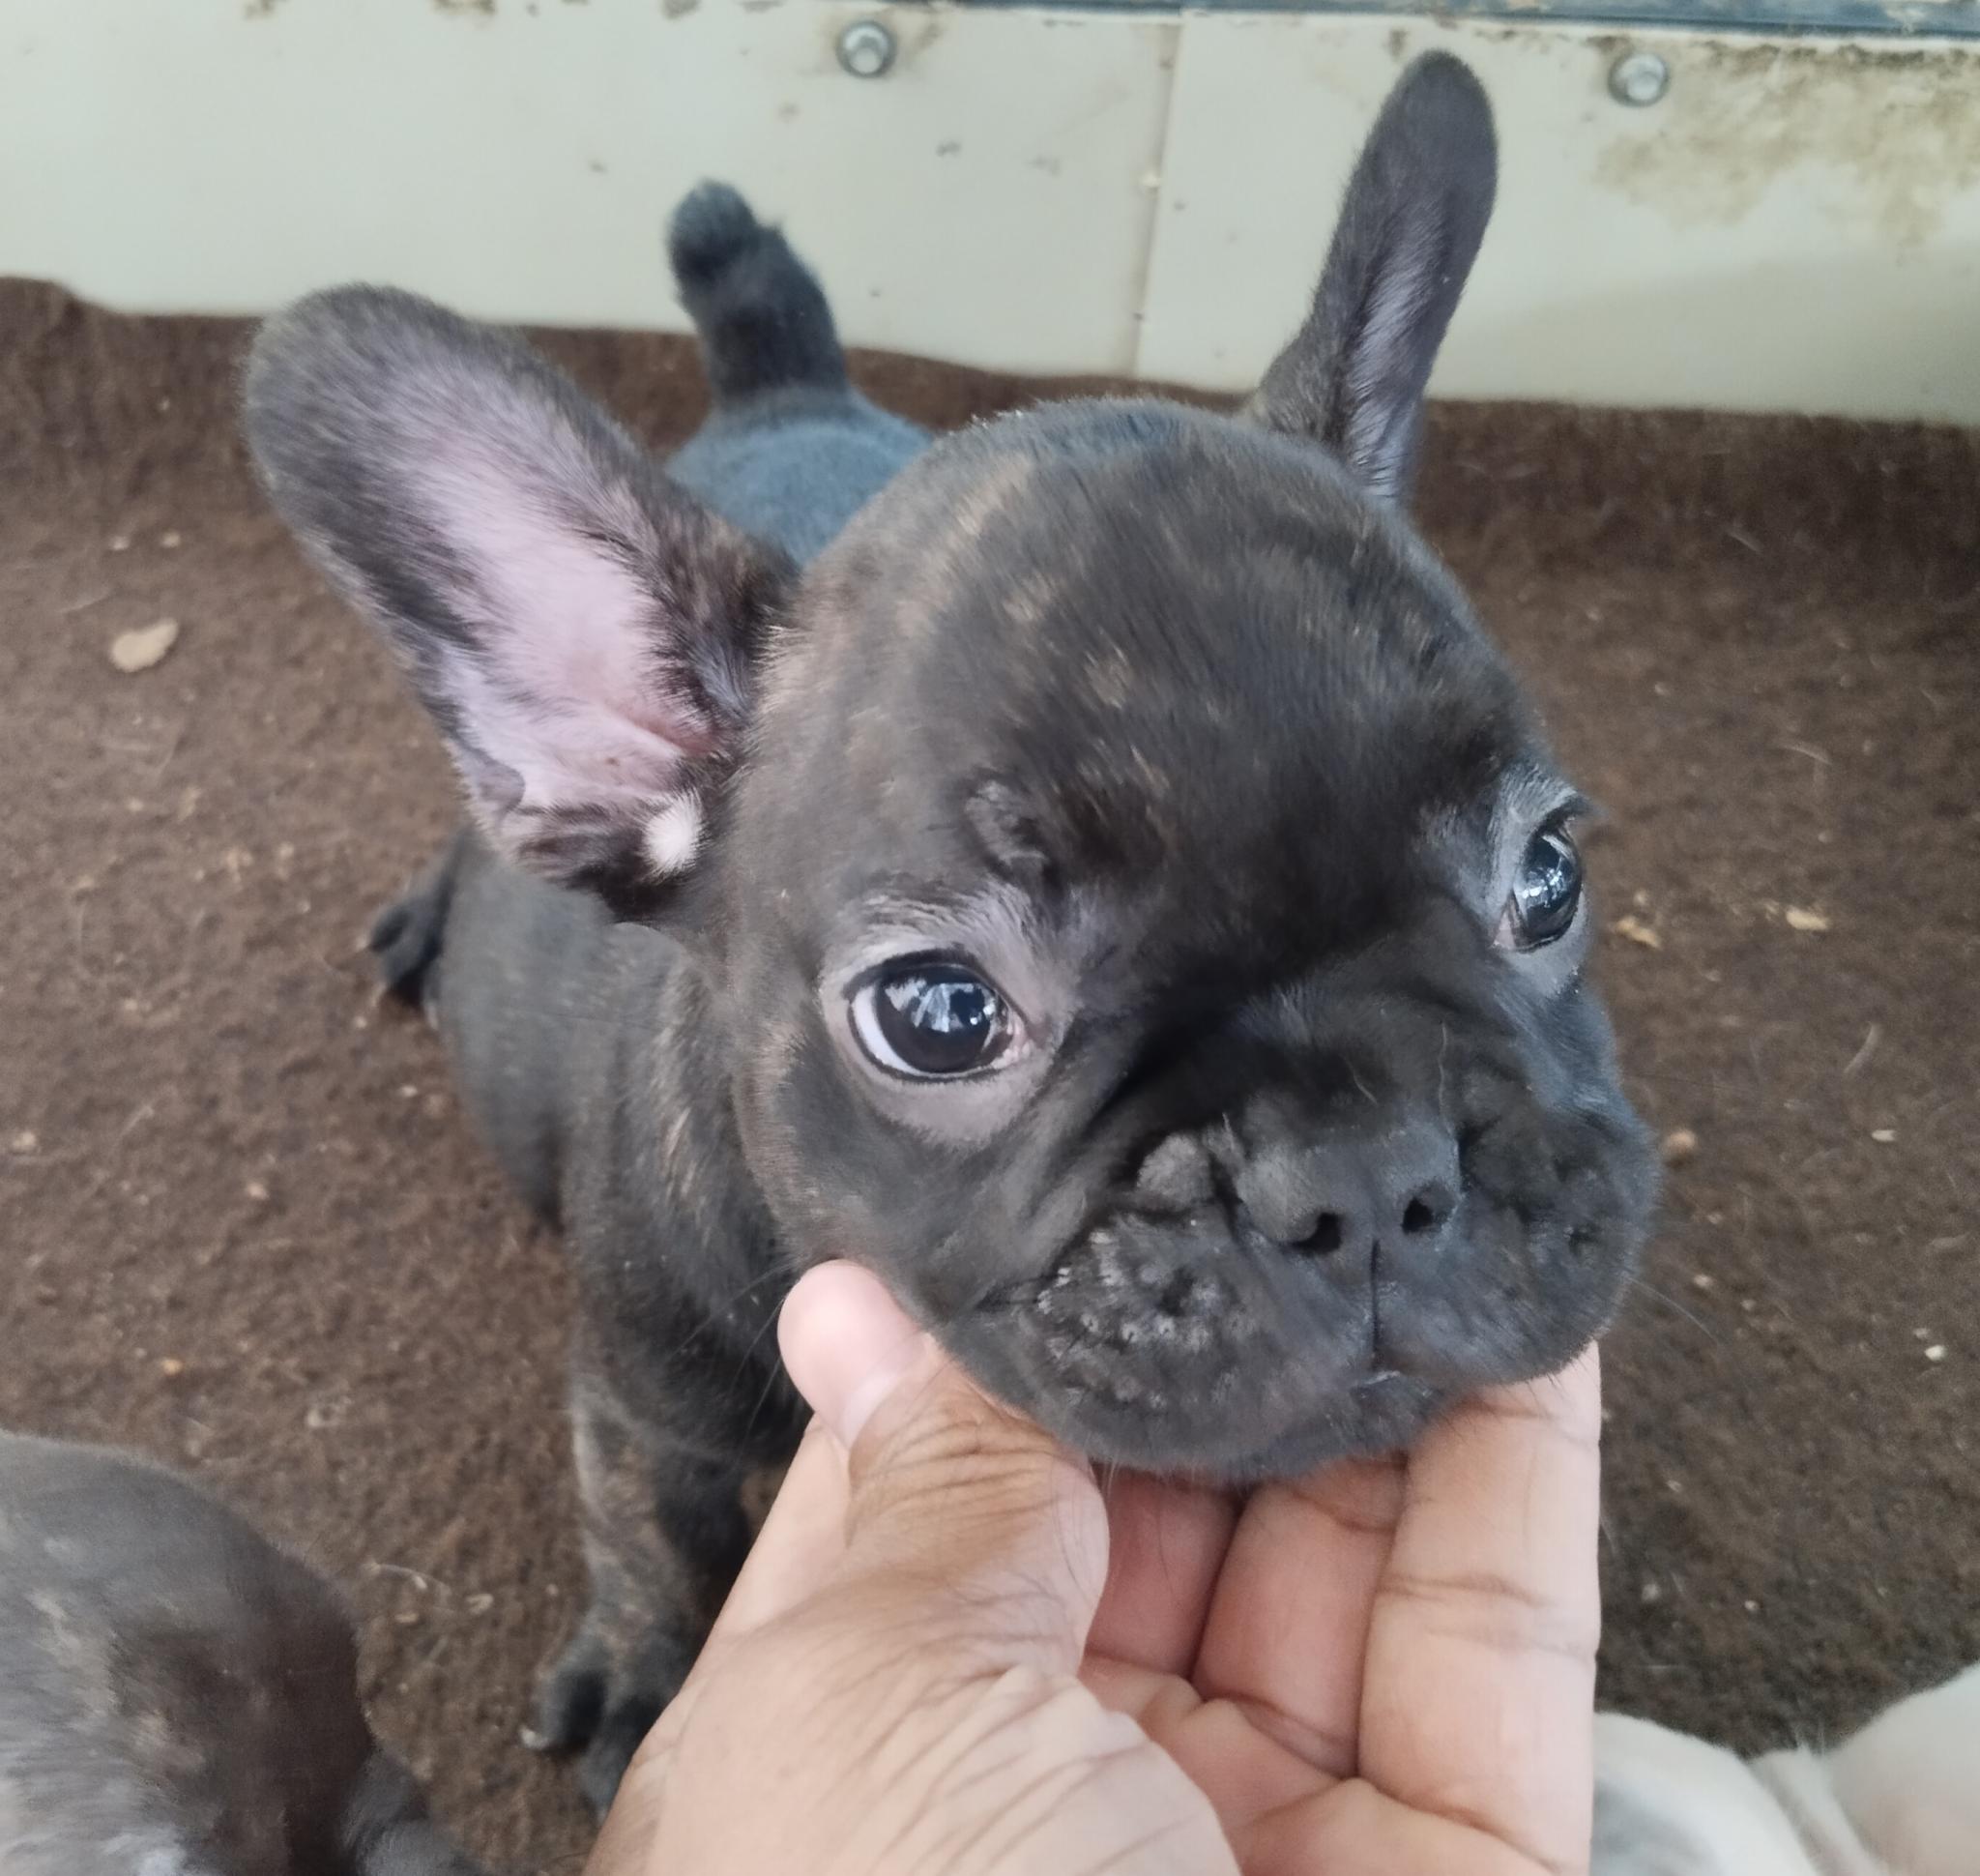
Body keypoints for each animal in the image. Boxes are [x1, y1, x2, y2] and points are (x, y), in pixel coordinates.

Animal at [242, 51, 1659, 1809]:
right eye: (936, 1016)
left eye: (1549, 876)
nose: (1368, 1174)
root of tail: (783, 393)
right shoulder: (646, 1403)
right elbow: (654, 1534)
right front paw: (651, 1684)